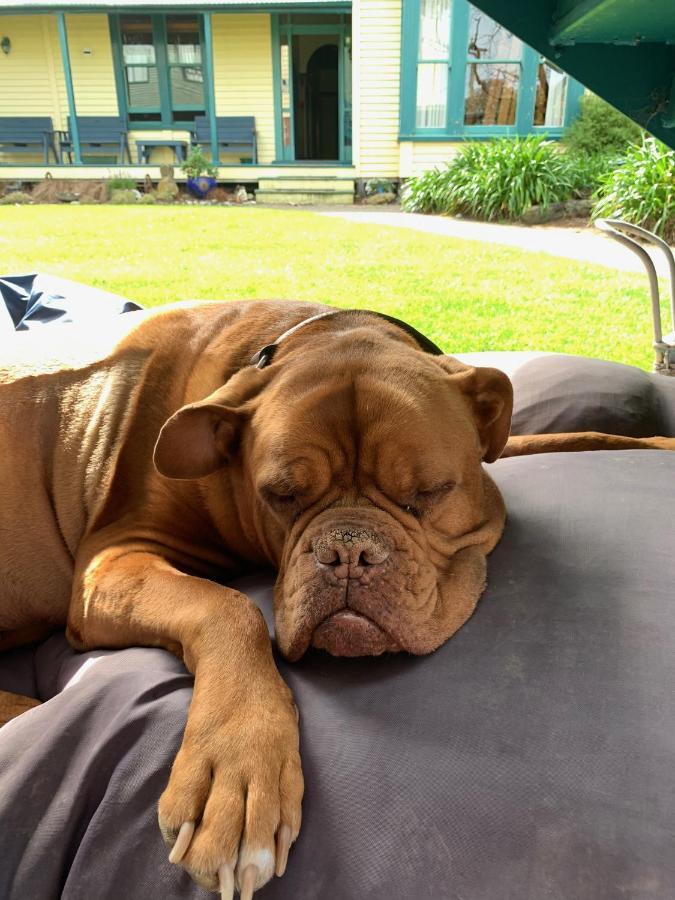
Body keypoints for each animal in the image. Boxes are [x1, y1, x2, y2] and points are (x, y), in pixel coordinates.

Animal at [1, 300, 675, 892]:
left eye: (429, 492)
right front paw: (240, 769)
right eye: (281, 494)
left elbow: (573, 435)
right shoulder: (114, 561)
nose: (348, 550)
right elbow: (227, 605)